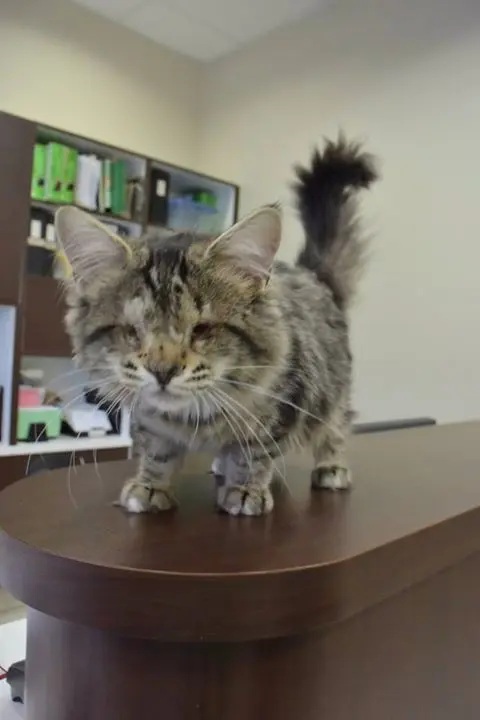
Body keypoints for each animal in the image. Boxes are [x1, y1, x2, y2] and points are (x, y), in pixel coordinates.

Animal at [55, 136, 378, 516]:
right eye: (131, 331)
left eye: (202, 330)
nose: (162, 371)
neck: (192, 418)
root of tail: (311, 274)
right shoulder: (150, 421)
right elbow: (156, 452)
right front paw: (150, 486)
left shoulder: (282, 406)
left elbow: (254, 453)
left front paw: (245, 490)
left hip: (334, 393)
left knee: (335, 429)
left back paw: (331, 468)